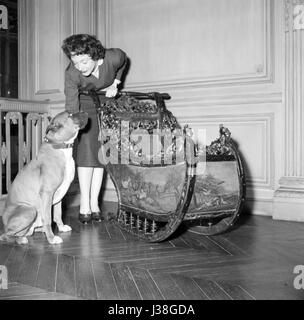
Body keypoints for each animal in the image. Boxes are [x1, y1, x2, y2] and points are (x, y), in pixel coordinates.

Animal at [0, 110, 88, 245]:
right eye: (70, 115)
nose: (85, 111)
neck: (59, 146)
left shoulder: (59, 196)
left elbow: (57, 214)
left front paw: (61, 227)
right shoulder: (47, 193)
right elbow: (48, 219)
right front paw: (51, 238)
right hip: (29, 210)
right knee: (6, 235)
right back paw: (21, 239)